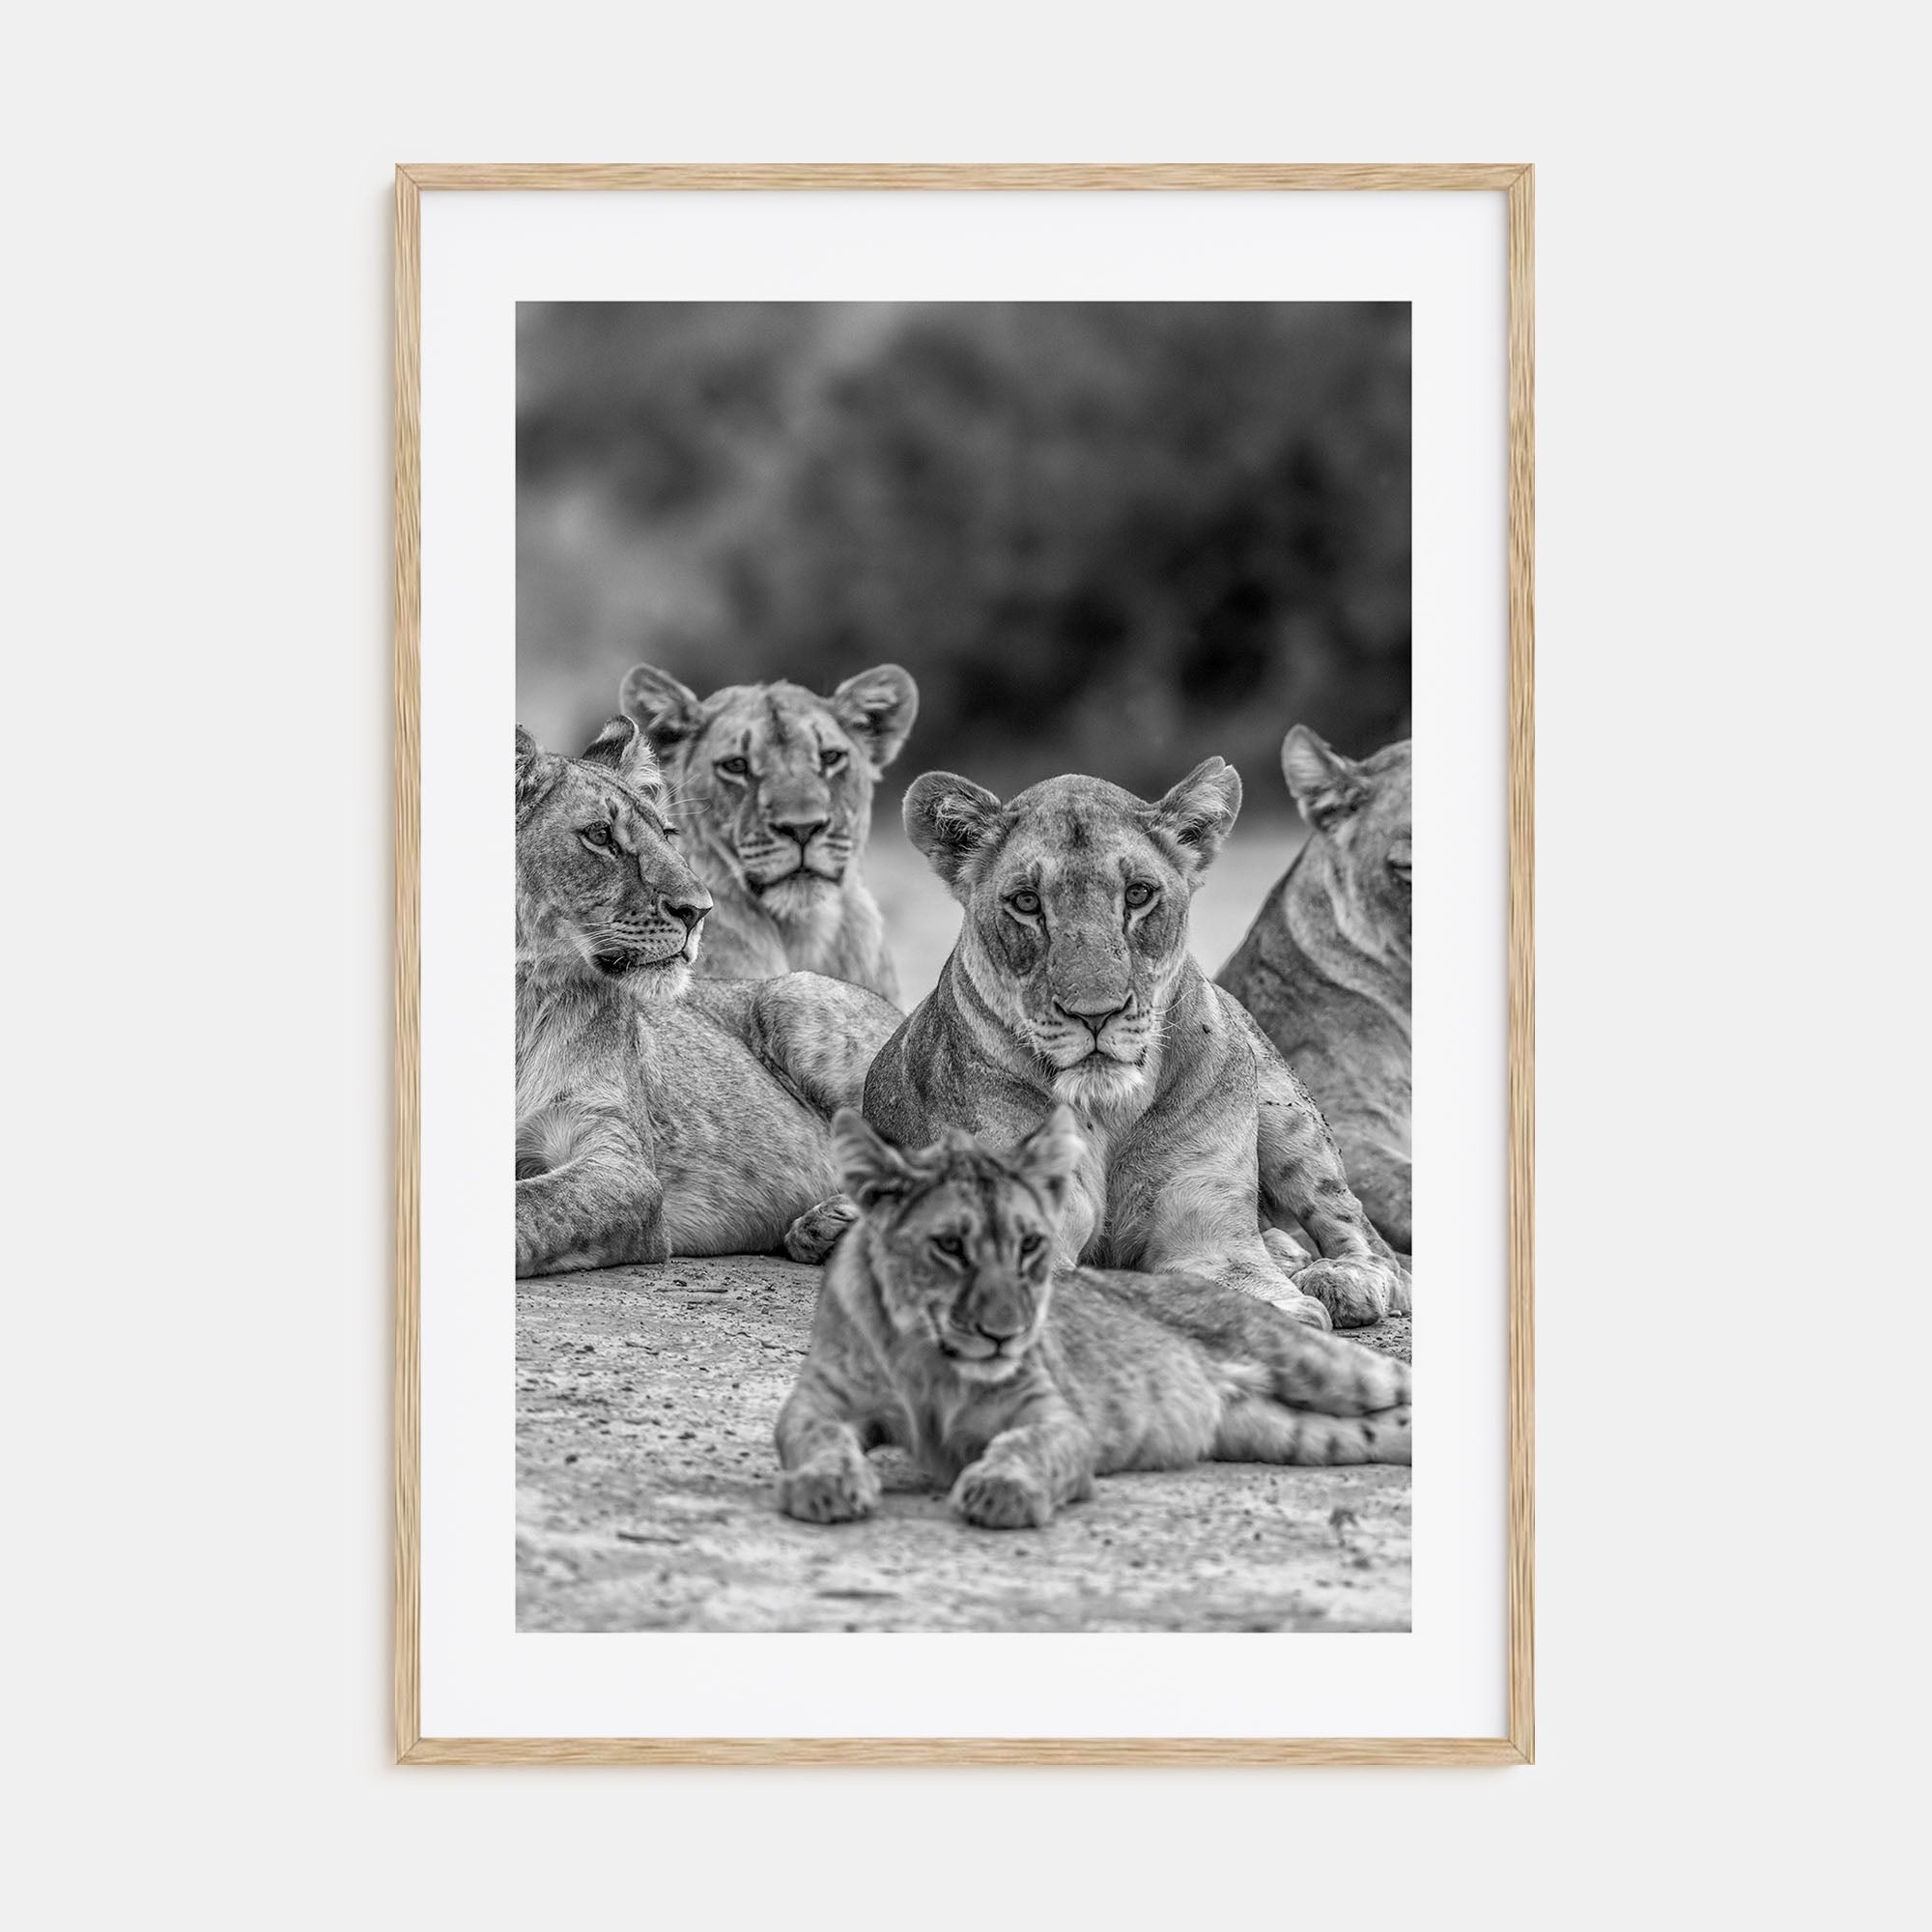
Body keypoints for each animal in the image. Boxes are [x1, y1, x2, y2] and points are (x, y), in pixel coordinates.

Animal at [514, 718, 901, 1278]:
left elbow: (528, 1206)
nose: (699, 911)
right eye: (600, 836)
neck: (520, 998)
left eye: (668, 834)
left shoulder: (624, 1167)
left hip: (791, 994)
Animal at [775, 1108, 1411, 1530]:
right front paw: (826, 1486)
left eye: (1030, 1244)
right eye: (950, 1245)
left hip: (1318, 1359)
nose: (1006, 1330)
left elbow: (1030, 1447)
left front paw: (1001, 1491)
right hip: (1284, 1432)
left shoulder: (1057, 1417)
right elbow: (815, 1436)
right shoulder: (817, 1404)